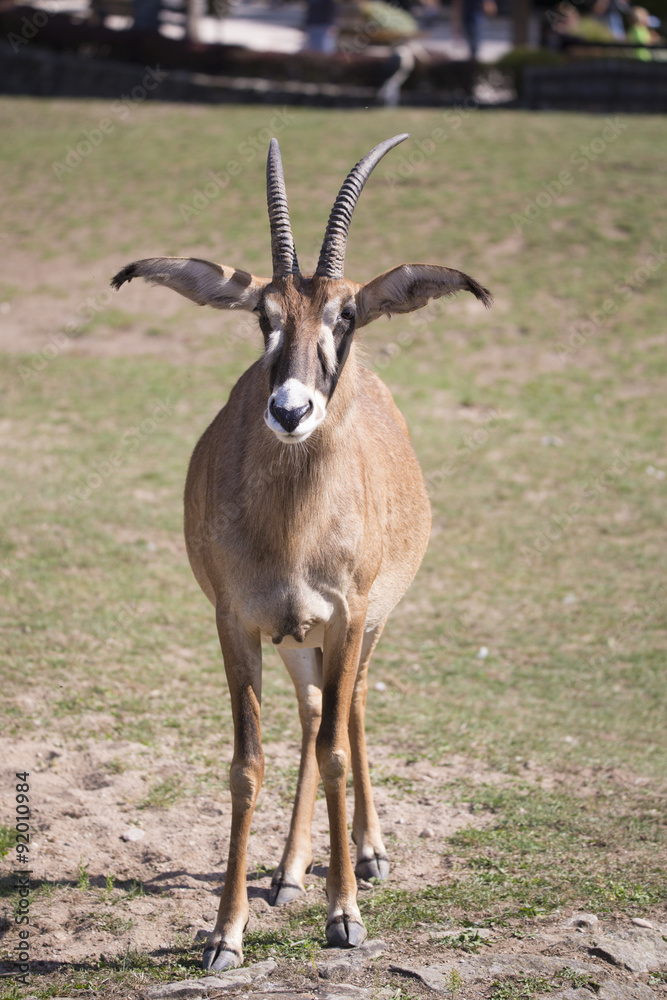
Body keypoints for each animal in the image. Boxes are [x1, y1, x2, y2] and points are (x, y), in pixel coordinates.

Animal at [111, 134, 491, 971]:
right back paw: (287, 871)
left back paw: (369, 853)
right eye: (264, 315)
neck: (292, 530)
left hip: (364, 627)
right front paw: (225, 932)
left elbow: (336, 751)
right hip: (297, 641)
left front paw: (345, 915)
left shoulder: (347, 618)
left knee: (347, 713)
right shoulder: (238, 624)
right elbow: (247, 764)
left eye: (346, 314)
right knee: (316, 712)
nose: (290, 410)